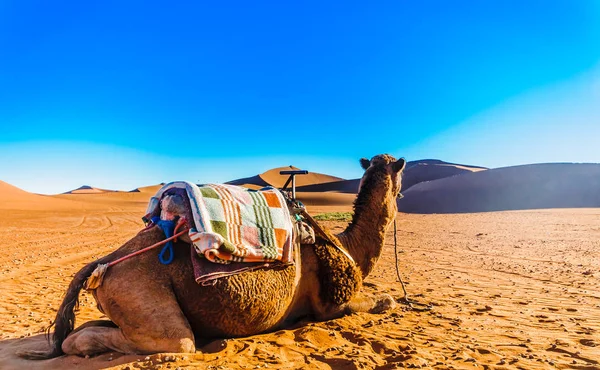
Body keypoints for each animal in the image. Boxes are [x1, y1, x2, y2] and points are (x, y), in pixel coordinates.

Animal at [23, 153, 408, 358]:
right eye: (400, 175)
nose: (402, 193)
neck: (349, 247)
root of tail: (102, 264)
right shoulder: (332, 304)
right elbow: (385, 301)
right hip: (140, 295)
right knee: (173, 341)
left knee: (85, 328)